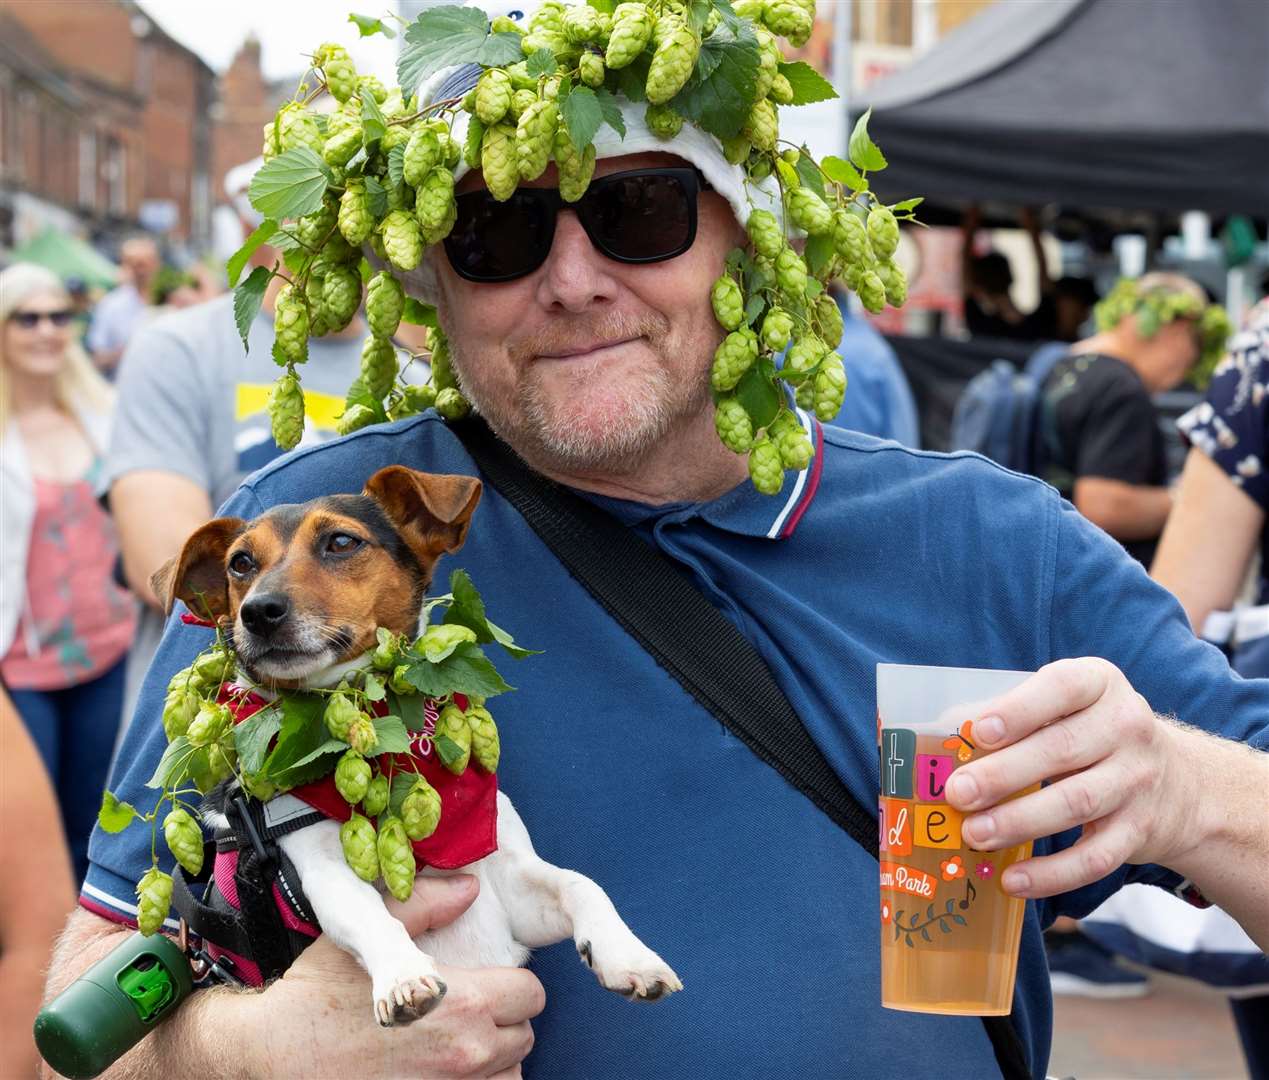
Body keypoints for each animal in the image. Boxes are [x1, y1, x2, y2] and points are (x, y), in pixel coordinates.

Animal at [152, 464, 680, 1020]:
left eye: (341, 542)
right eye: (241, 563)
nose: (257, 611)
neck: (392, 751)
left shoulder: (509, 888)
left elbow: (580, 883)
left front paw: (628, 956)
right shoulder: (322, 872)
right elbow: (370, 915)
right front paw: (404, 976)